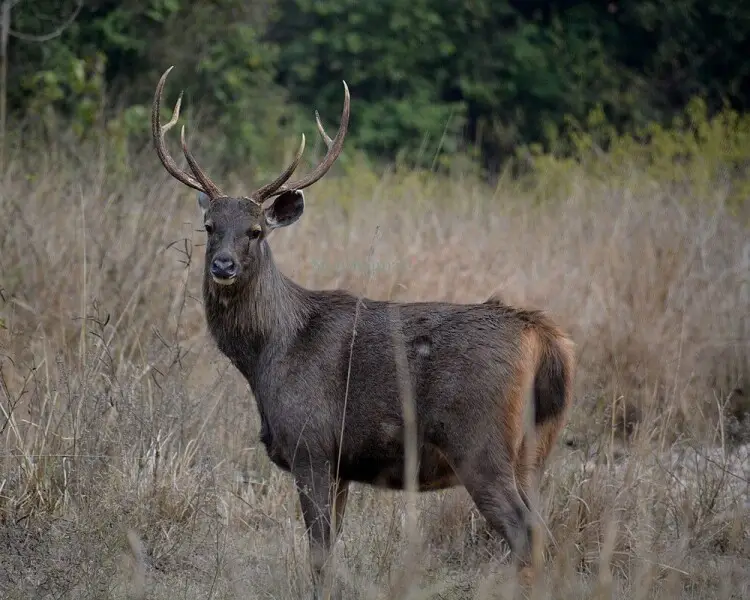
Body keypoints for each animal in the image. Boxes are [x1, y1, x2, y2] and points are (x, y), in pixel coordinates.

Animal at [151, 67, 576, 600]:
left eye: (256, 231)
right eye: (209, 226)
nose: (222, 266)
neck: (269, 354)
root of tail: (544, 337)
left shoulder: (311, 445)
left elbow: (318, 555)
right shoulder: (341, 466)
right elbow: (330, 551)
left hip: (480, 443)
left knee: (526, 535)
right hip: (536, 449)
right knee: (548, 536)